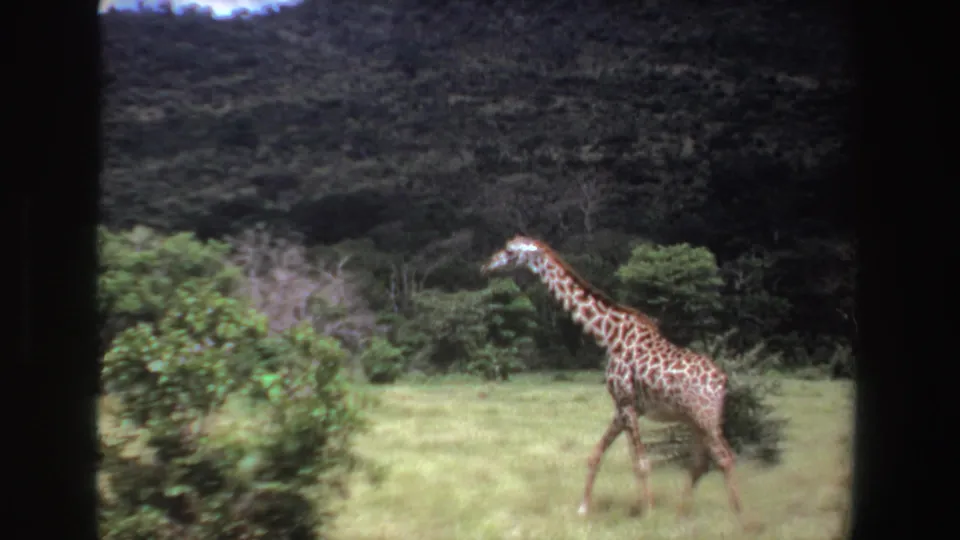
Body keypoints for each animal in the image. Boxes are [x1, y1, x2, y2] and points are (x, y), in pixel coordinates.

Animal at [481, 235, 743, 519]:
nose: (487, 266)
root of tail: (723, 381)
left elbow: (641, 462)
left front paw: (648, 513)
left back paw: (737, 517)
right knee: (700, 463)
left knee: (724, 457)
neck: (609, 336)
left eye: (509, 251)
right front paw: (584, 508)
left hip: (705, 417)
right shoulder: (623, 407)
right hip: (694, 420)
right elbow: (597, 454)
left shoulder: (626, 402)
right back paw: (683, 511)